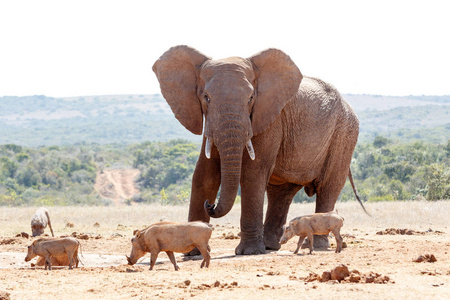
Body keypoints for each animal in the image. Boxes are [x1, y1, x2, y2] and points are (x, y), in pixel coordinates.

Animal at [153, 45, 364, 255]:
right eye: (206, 97)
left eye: (251, 98)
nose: (210, 204)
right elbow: (204, 175)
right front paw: (192, 253)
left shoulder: (270, 119)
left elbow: (253, 173)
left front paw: (249, 252)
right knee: (281, 192)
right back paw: (271, 245)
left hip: (344, 134)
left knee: (328, 187)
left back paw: (316, 246)